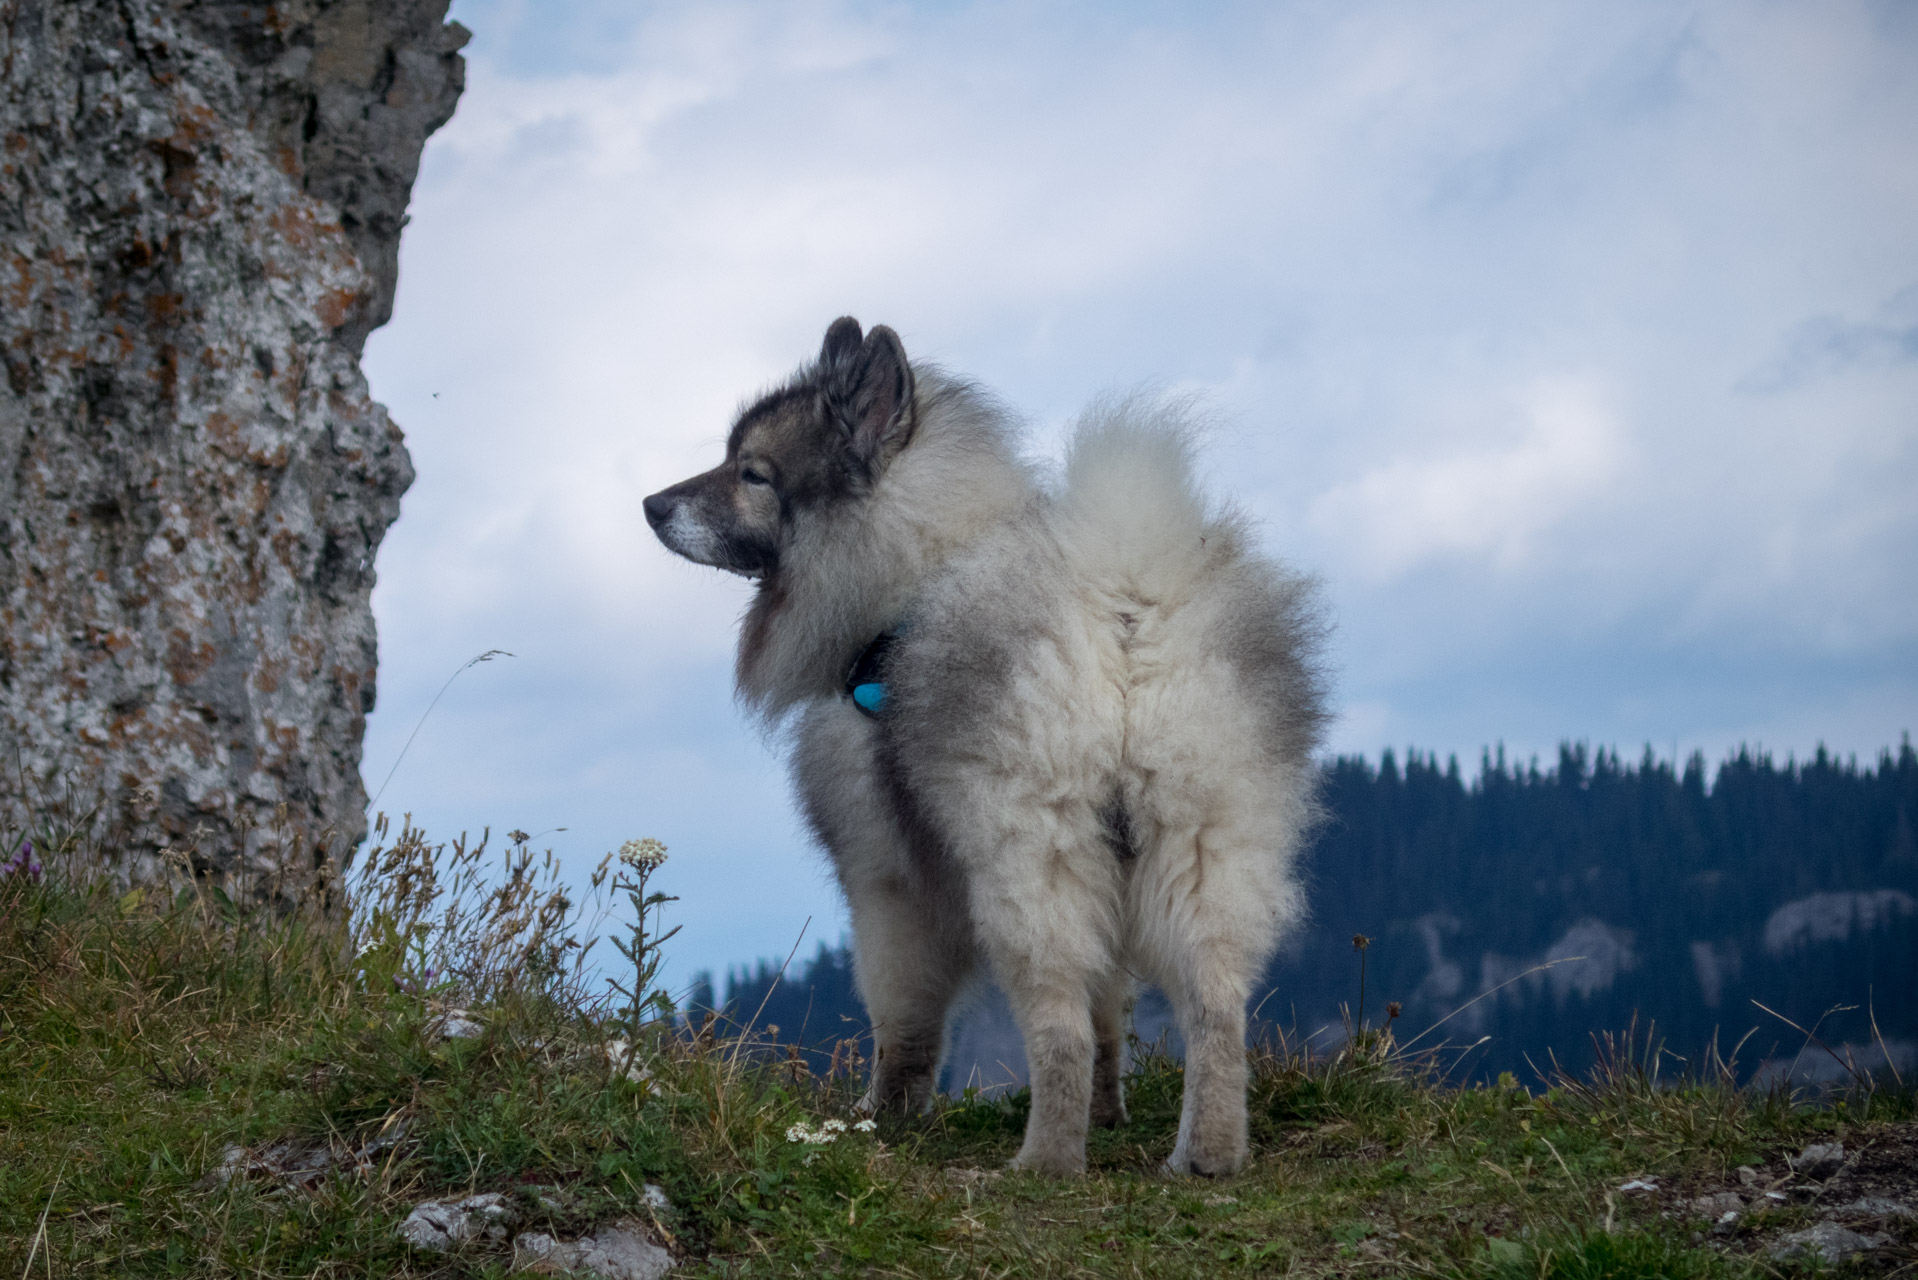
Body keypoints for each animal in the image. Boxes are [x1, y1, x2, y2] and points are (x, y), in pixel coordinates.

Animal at [640, 314, 1319, 1174]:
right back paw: (1206, 1156)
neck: (906, 584)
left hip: (1030, 863)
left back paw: (1046, 1160)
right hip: (1206, 844)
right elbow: (1110, 1018)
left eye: (752, 473)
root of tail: (1124, 615)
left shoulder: (888, 882)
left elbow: (904, 1025)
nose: (651, 504)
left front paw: (881, 1119)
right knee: (1216, 1010)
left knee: (1058, 1026)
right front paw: (1109, 1114)